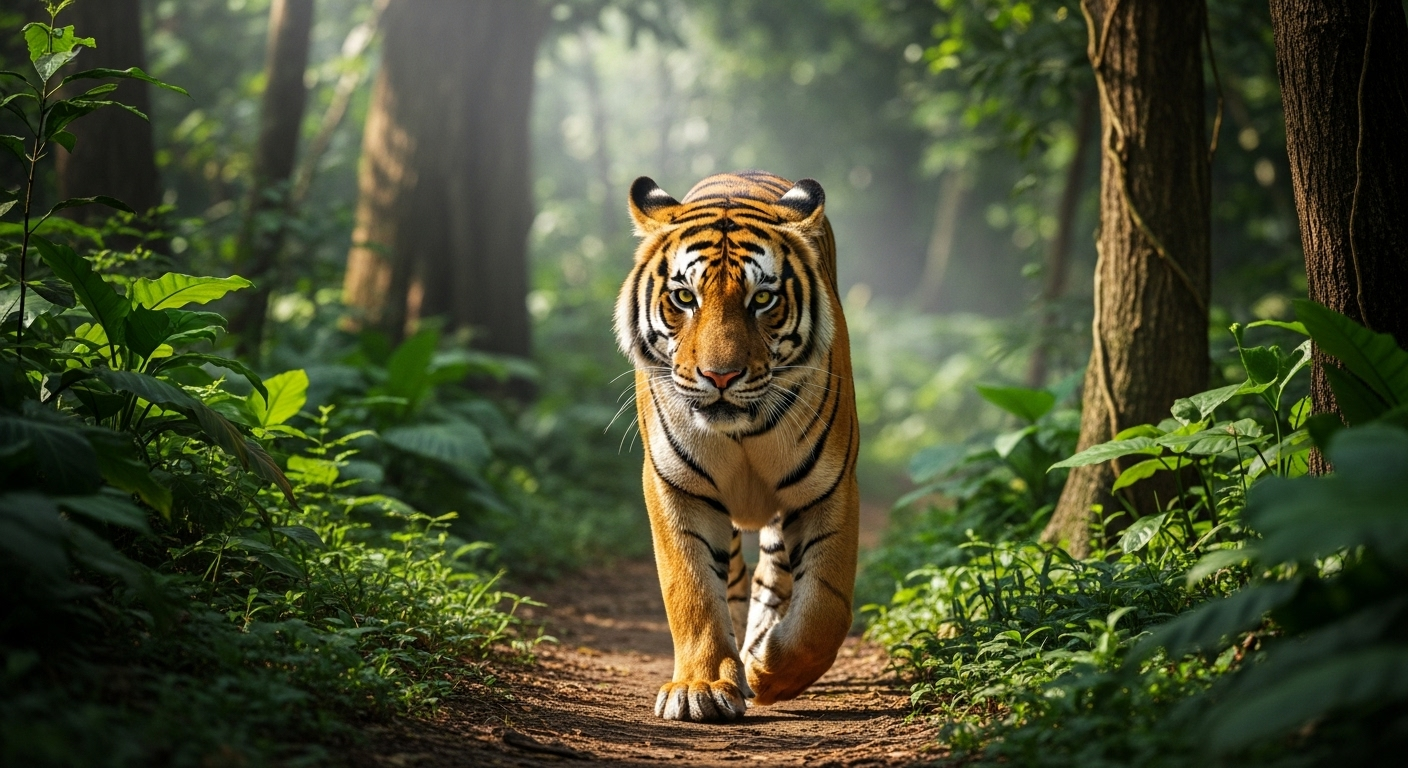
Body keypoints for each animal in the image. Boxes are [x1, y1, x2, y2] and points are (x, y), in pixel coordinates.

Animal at [614, 170, 860, 723]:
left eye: (762, 299)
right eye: (685, 298)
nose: (720, 376)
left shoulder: (829, 486)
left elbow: (825, 607)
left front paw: (771, 672)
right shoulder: (675, 485)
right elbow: (691, 590)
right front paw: (700, 688)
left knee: (773, 577)